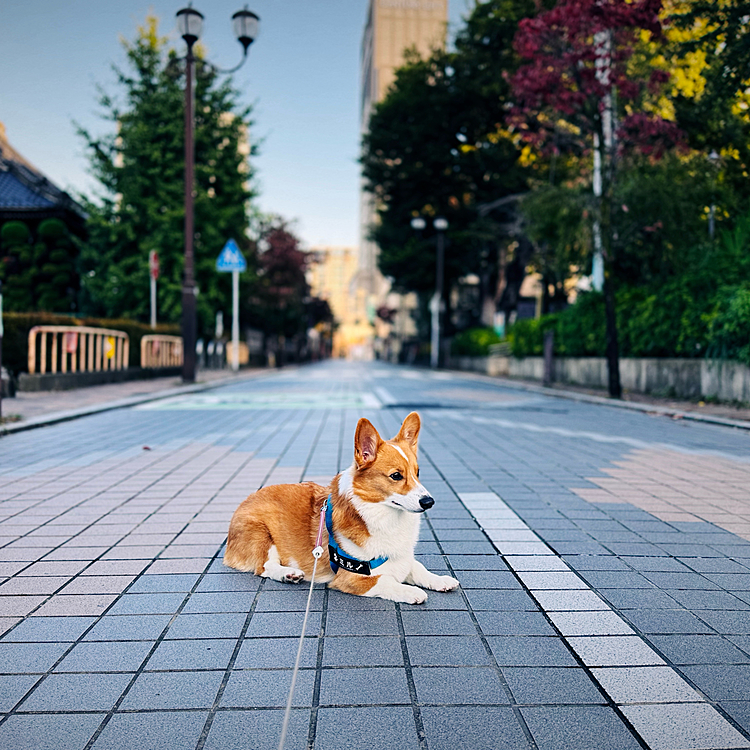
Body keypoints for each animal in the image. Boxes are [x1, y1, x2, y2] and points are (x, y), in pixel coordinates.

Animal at [223, 412, 458, 604]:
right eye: (396, 476)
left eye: (417, 473)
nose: (429, 501)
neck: (383, 515)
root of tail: (247, 498)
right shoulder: (353, 576)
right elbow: (386, 581)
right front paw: (411, 592)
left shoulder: (402, 558)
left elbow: (417, 567)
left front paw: (440, 580)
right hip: (260, 533)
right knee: (263, 567)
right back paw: (288, 574)